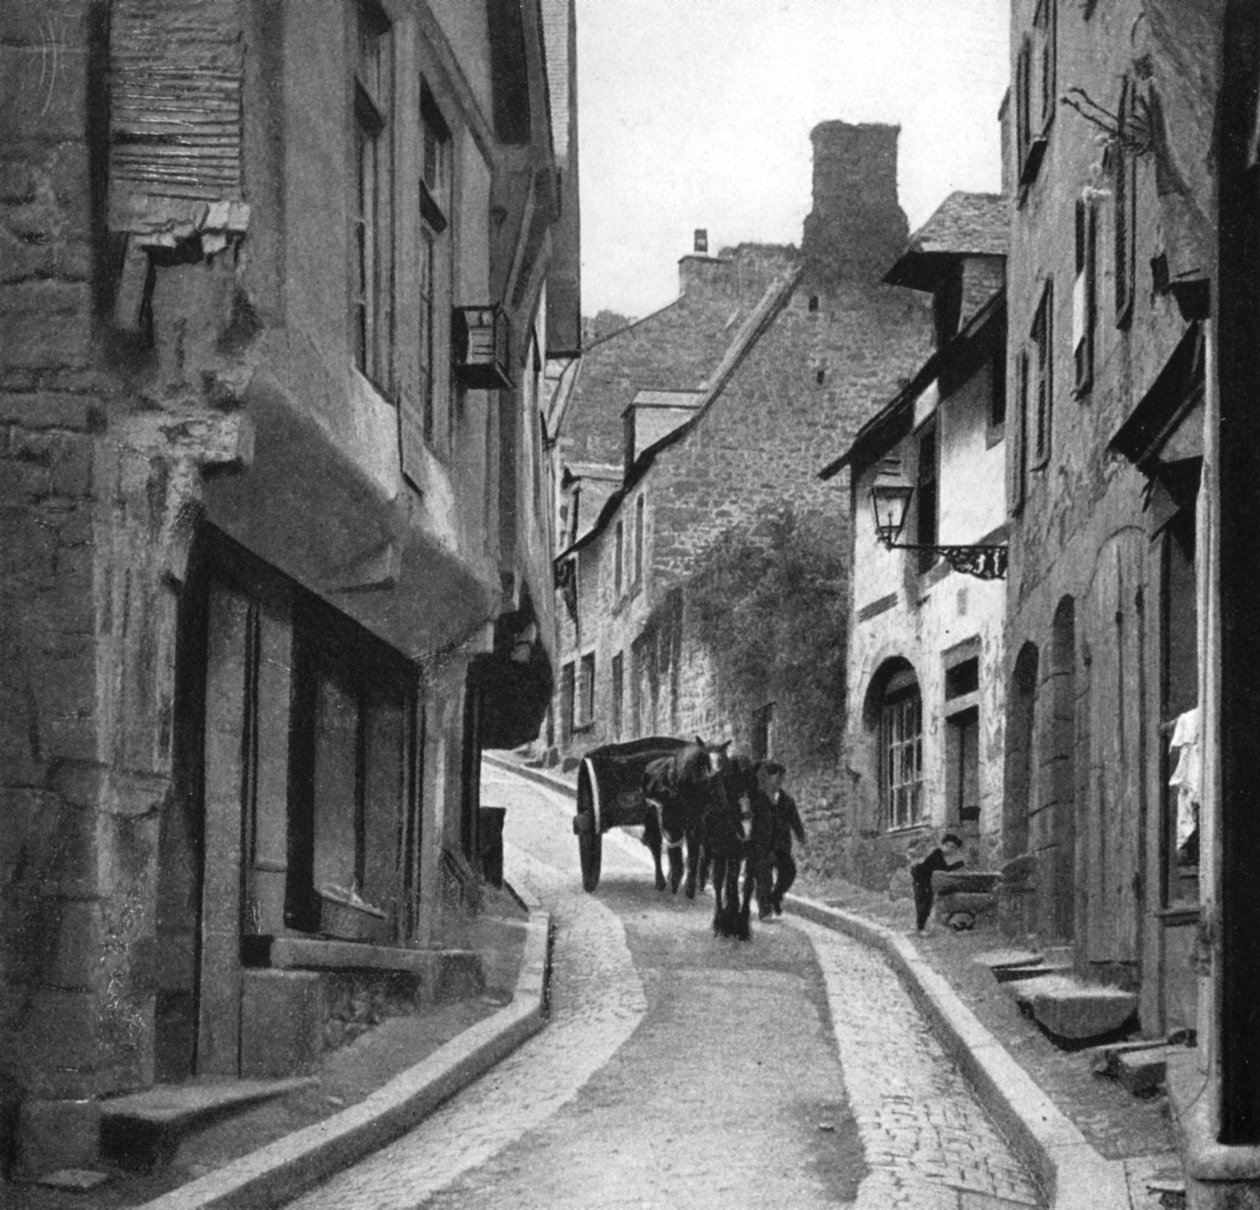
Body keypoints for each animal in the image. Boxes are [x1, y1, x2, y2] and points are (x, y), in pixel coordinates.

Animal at [640, 736, 730, 897]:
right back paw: (661, 880)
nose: (721, 801)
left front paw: (690, 887)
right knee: (656, 846)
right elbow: (674, 850)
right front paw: (675, 880)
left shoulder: (697, 822)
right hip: (652, 817)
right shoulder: (671, 821)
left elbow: (694, 852)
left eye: (723, 763)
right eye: (704, 763)